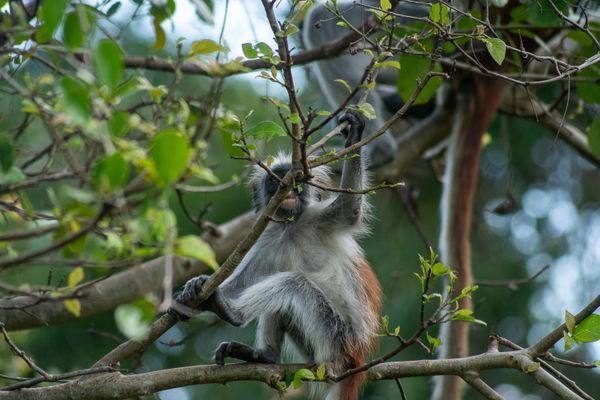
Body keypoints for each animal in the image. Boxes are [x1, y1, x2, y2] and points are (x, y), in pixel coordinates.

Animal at [172, 111, 380, 400]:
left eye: (298, 182)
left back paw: (231, 313)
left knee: (293, 283)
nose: (288, 190)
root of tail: (356, 359)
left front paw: (355, 132)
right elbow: (240, 285)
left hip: (337, 337)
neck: (289, 227)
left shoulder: (318, 218)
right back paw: (265, 356)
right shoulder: (267, 238)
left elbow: (350, 209)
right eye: (274, 180)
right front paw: (194, 292)